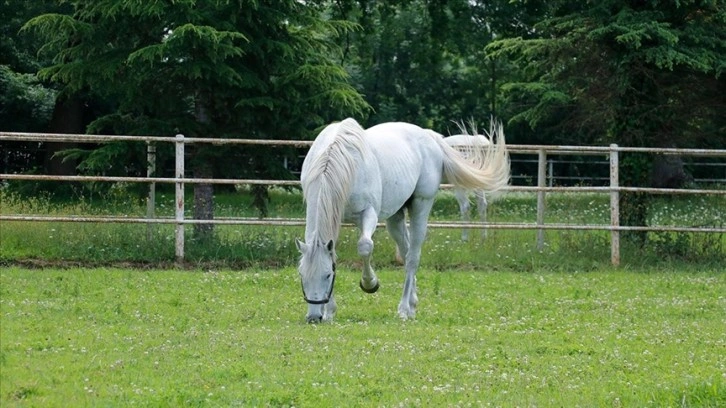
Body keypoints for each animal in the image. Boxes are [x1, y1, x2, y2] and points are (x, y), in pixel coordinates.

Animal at [296, 118, 512, 322]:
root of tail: (430, 137)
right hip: (396, 218)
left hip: (421, 206)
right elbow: (333, 255)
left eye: (327, 275)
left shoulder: (369, 214)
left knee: (413, 258)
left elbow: (365, 247)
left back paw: (404, 310)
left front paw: (370, 283)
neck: (339, 160)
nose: (314, 317)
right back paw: (413, 303)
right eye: (301, 274)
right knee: (406, 252)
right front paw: (330, 312)